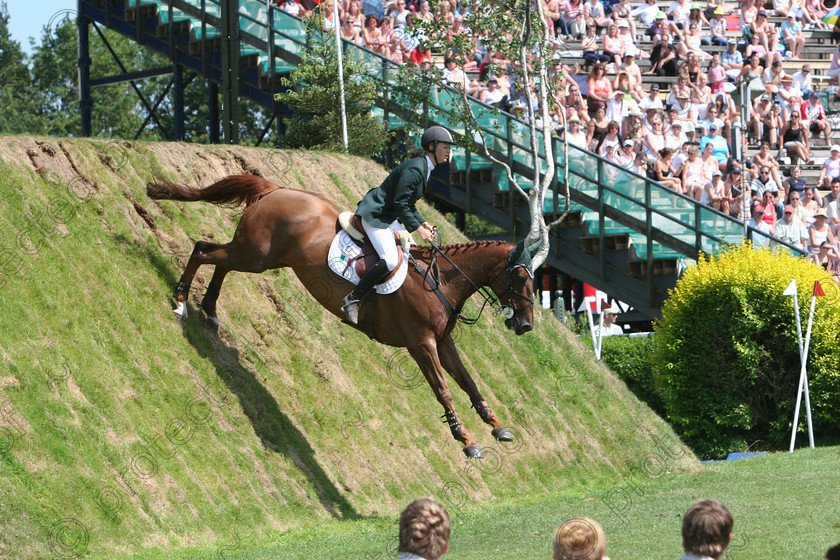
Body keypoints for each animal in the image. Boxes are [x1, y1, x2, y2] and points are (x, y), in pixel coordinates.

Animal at [146, 175, 540, 460]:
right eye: (521, 278)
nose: (525, 325)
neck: (440, 280)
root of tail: (275, 189)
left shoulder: (443, 341)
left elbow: (468, 383)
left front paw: (496, 425)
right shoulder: (421, 344)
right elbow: (444, 390)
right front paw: (466, 440)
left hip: (257, 257)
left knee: (220, 261)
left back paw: (210, 310)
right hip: (255, 254)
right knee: (204, 250)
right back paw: (180, 302)